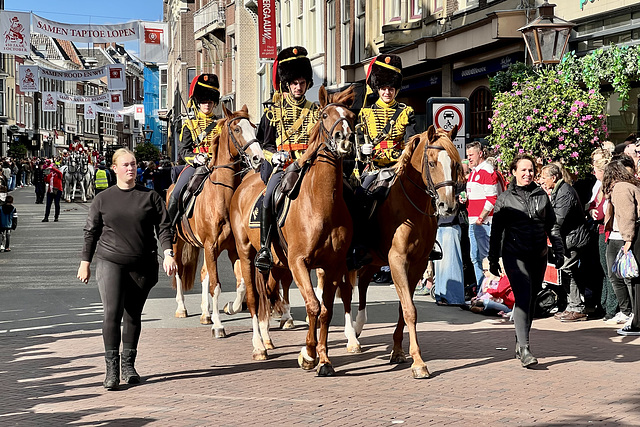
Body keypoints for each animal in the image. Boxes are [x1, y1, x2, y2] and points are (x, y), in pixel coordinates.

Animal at [168, 104, 264, 338]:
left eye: (254, 127)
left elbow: (240, 284)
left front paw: (230, 307)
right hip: (177, 242)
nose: (258, 158)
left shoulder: (232, 248)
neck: (222, 196)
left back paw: (205, 314)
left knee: (204, 274)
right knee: (178, 271)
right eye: (237, 129)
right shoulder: (211, 246)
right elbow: (217, 286)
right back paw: (182, 308)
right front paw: (219, 326)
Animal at [230, 86, 358, 374]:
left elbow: (325, 310)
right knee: (254, 298)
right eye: (325, 115)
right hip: (247, 255)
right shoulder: (298, 262)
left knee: (268, 293)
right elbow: (312, 305)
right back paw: (259, 346)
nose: (344, 139)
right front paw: (308, 355)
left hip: (277, 263)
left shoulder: (332, 265)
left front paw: (323, 359)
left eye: (351, 116)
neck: (321, 203)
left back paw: (267, 339)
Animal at [342, 125, 462, 380]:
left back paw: (359, 324)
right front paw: (418, 362)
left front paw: (398, 350)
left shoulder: (416, 263)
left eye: (456, 164)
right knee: (345, 293)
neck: (411, 207)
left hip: (373, 259)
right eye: (432, 162)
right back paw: (351, 338)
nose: (448, 206)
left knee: (363, 283)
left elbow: (403, 306)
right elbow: (410, 310)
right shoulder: (397, 261)